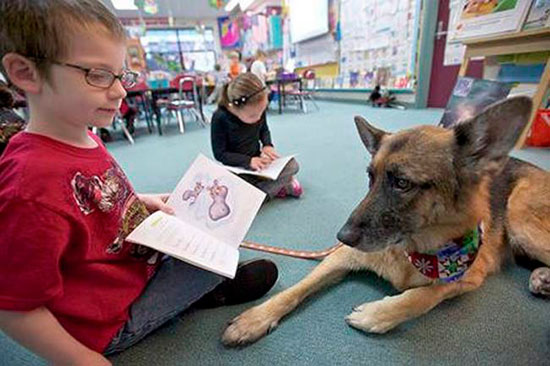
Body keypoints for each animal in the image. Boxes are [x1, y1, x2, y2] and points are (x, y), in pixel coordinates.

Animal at [222, 96, 550, 346]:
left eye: (402, 183)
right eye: (371, 177)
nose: (341, 236)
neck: (412, 250)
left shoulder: (468, 277)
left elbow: (422, 296)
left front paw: (376, 315)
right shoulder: (339, 258)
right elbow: (297, 288)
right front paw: (257, 317)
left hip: (520, 218)